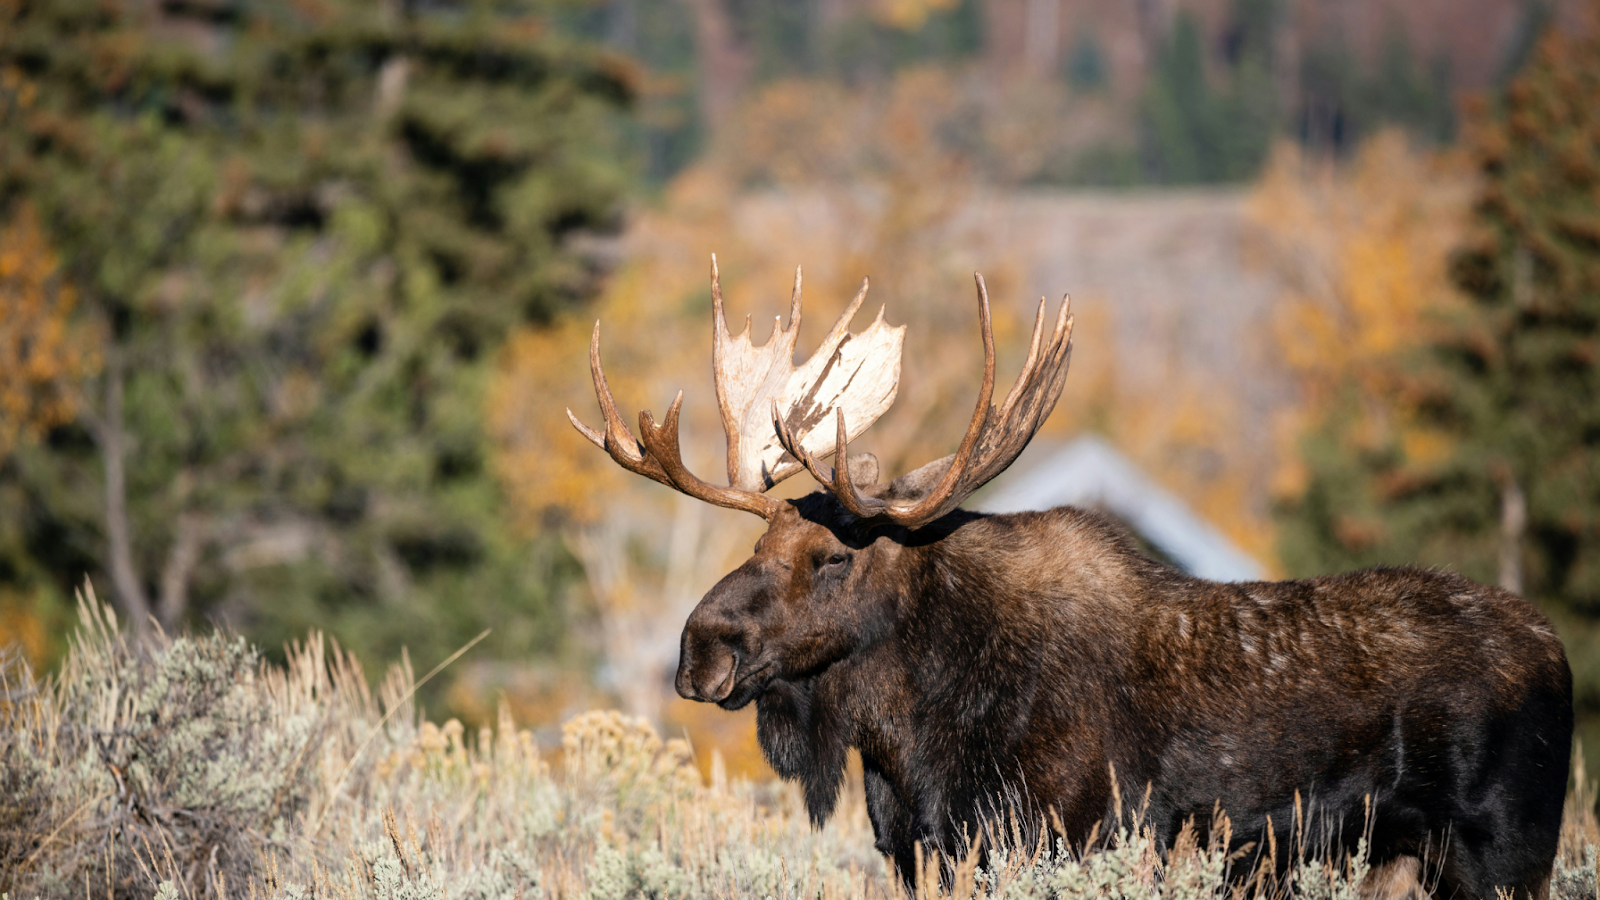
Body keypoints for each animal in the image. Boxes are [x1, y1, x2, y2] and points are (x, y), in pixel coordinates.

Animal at [569, 258, 1573, 899]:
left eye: (834, 557)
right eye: (756, 546)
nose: (699, 650)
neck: (908, 737)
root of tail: (1557, 650)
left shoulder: (1062, 837)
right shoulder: (923, 851)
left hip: (1503, 854)